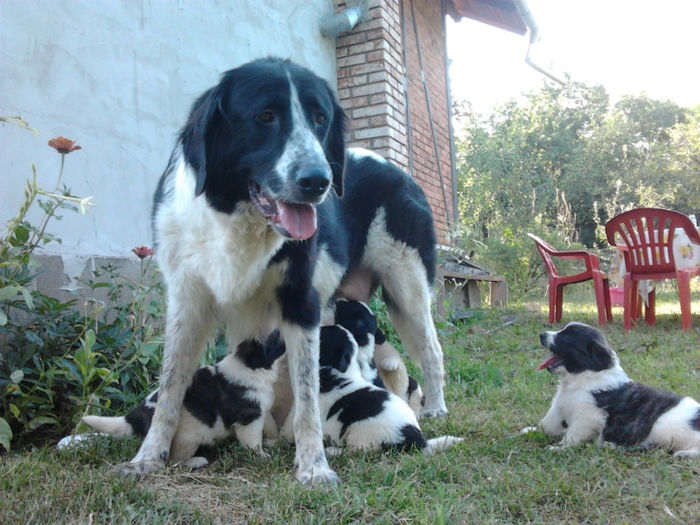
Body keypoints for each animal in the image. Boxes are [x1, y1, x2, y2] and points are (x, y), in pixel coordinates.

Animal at [82, 334, 288, 464]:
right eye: (274, 335)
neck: (251, 366)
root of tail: (136, 415)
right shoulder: (248, 419)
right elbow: (253, 442)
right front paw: (262, 456)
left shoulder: (261, 410)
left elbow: (269, 424)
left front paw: (274, 439)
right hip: (187, 437)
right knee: (175, 460)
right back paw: (197, 461)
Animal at [121, 58, 446, 484]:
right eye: (265, 116)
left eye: (321, 119)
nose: (319, 181)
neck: (238, 217)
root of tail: (399, 170)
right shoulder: (187, 304)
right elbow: (171, 387)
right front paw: (148, 457)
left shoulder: (301, 303)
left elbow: (307, 394)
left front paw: (313, 466)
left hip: (406, 288)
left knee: (432, 350)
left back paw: (435, 409)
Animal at [524, 320, 700, 454]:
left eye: (566, 336)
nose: (542, 334)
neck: (581, 378)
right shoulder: (559, 407)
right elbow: (546, 423)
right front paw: (531, 430)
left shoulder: (586, 418)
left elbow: (572, 435)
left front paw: (559, 448)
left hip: (665, 428)